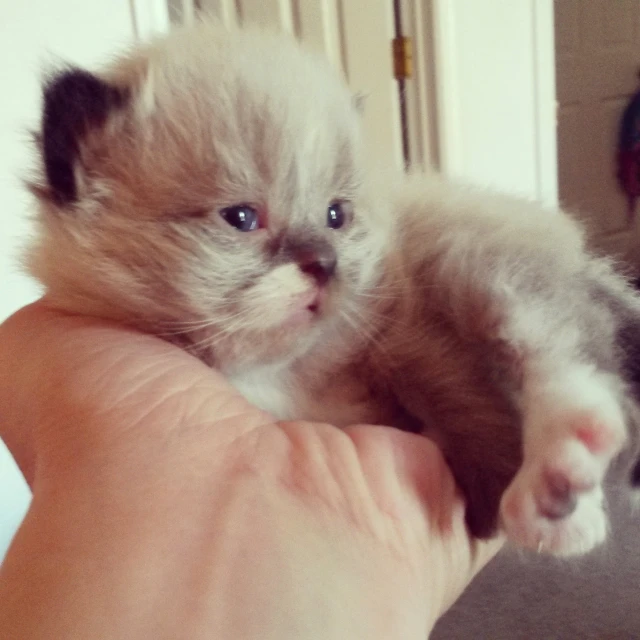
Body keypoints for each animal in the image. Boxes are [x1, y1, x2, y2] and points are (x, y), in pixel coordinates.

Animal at [25, 18, 640, 556]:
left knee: (563, 357)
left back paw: (555, 493)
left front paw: (492, 484)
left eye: (336, 215)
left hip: (475, 262)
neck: (280, 375)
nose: (324, 263)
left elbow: (464, 402)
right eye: (242, 218)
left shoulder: (407, 335)